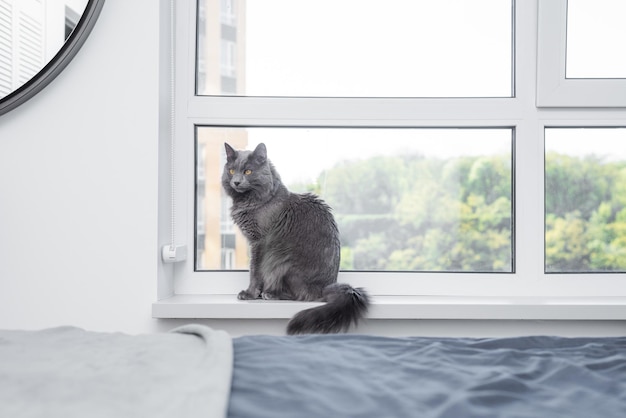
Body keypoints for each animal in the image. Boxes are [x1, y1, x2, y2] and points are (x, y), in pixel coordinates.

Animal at [222, 142, 368, 334]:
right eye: (231, 171)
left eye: (248, 171)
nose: (236, 181)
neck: (252, 201)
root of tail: (326, 288)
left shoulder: (259, 242)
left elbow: (254, 270)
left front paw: (250, 293)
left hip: (282, 262)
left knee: (300, 295)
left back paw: (270, 294)